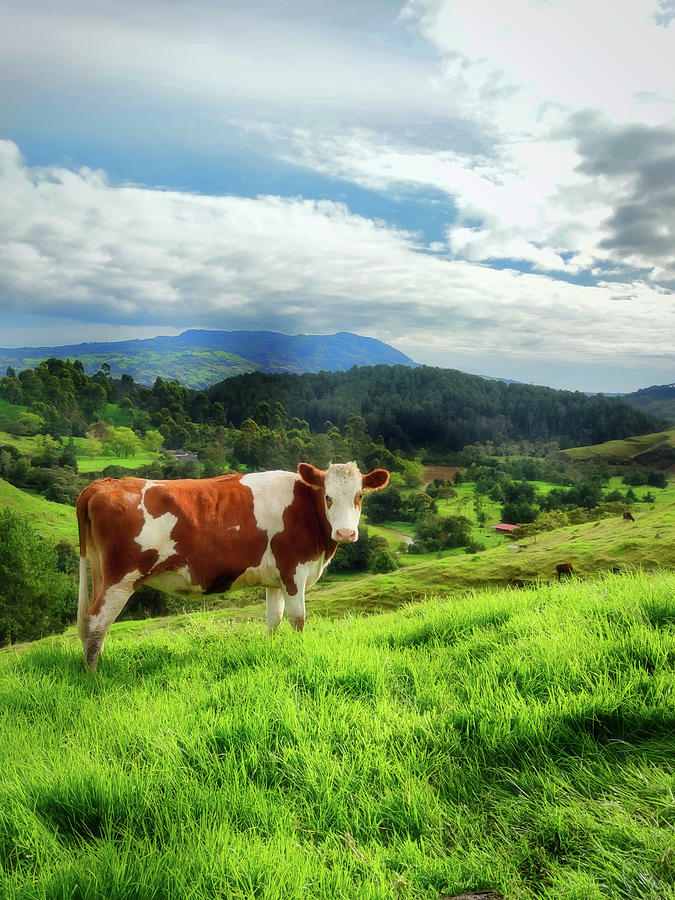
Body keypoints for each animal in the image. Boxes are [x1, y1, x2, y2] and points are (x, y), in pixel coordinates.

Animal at [76, 464, 388, 668]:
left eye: (360, 496)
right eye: (328, 497)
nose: (346, 533)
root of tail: (104, 484)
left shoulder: (275, 579)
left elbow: (273, 618)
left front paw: (271, 649)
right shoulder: (294, 572)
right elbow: (297, 620)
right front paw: (300, 652)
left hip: (101, 573)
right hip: (121, 577)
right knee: (96, 622)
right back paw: (94, 675)